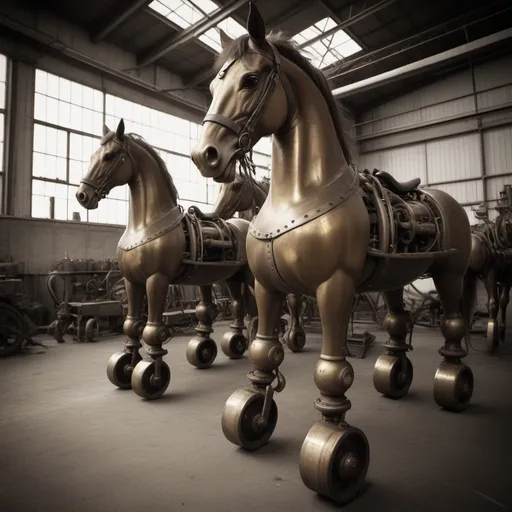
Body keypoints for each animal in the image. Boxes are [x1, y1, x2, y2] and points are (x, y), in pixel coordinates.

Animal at [75, 120, 256, 400]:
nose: (82, 195)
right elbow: (131, 326)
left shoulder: (157, 280)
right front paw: (126, 367)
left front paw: (153, 376)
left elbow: (153, 330)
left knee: (254, 311)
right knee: (236, 307)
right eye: (94, 155)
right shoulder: (132, 281)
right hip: (229, 278)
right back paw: (236, 345)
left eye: (109, 156)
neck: (145, 224)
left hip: (248, 277)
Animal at [209, 172, 306, 352]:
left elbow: (290, 303)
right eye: (220, 186)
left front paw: (292, 337)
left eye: (236, 186)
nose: (217, 214)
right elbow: (252, 313)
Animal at [464, 186, 512, 354]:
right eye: (507, 220)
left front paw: (501, 331)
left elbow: (503, 301)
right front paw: (492, 333)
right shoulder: (490, 274)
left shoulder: (507, 277)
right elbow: (492, 303)